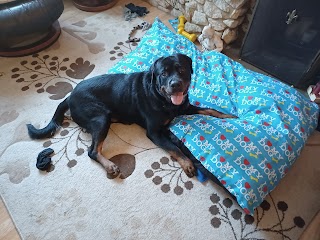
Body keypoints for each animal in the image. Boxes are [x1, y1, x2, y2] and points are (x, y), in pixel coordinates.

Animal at [26, 54, 234, 178]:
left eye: (181, 70)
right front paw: (188, 164)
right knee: (93, 151)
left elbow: (208, 110)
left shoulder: (184, 107)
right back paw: (110, 166)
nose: (175, 84)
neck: (163, 99)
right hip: (101, 118)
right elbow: (174, 148)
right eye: (163, 74)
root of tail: (69, 97)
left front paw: (228, 116)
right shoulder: (154, 132)